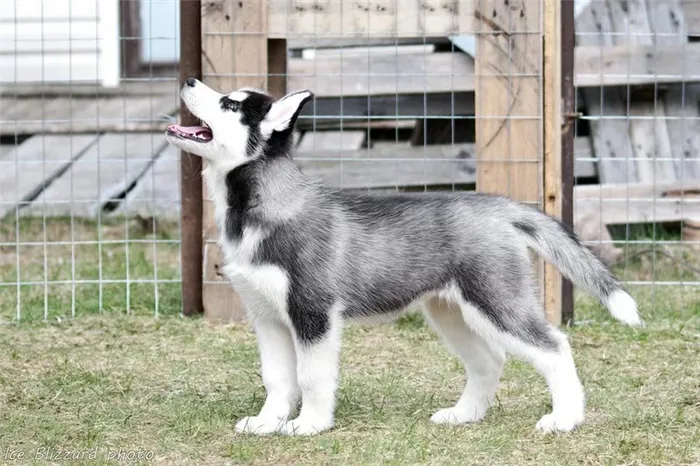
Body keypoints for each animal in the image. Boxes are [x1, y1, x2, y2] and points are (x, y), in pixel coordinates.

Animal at [167, 79, 644, 436]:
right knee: (489, 360)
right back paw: (464, 415)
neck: (256, 207)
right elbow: (277, 378)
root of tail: (498, 205)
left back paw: (565, 419)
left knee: (555, 347)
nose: (188, 79)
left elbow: (311, 376)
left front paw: (310, 425)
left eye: (230, 103)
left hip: (496, 300)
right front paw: (268, 423)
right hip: (450, 311)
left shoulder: (313, 313)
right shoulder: (266, 316)